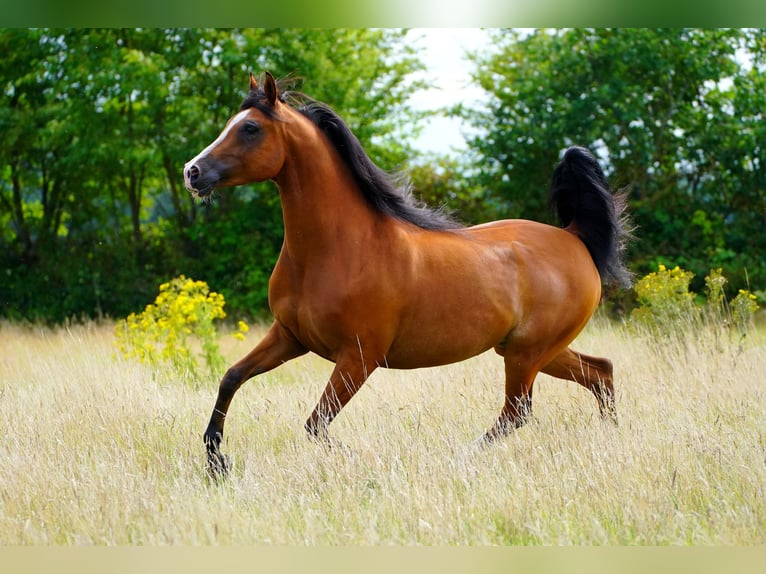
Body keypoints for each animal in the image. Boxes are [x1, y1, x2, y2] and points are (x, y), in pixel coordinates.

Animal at [184, 72, 631, 478]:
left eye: (250, 128)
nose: (192, 172)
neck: (339, 249)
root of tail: (574, 238)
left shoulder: (358, 358)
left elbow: (315, 425)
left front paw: (364, 463)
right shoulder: (290, 337)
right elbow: (232, 377)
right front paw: (216, 461)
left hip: (527, 353)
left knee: (517, 413)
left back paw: (458, 458)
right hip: (535, 351)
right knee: (600, 373)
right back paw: (609, 439)